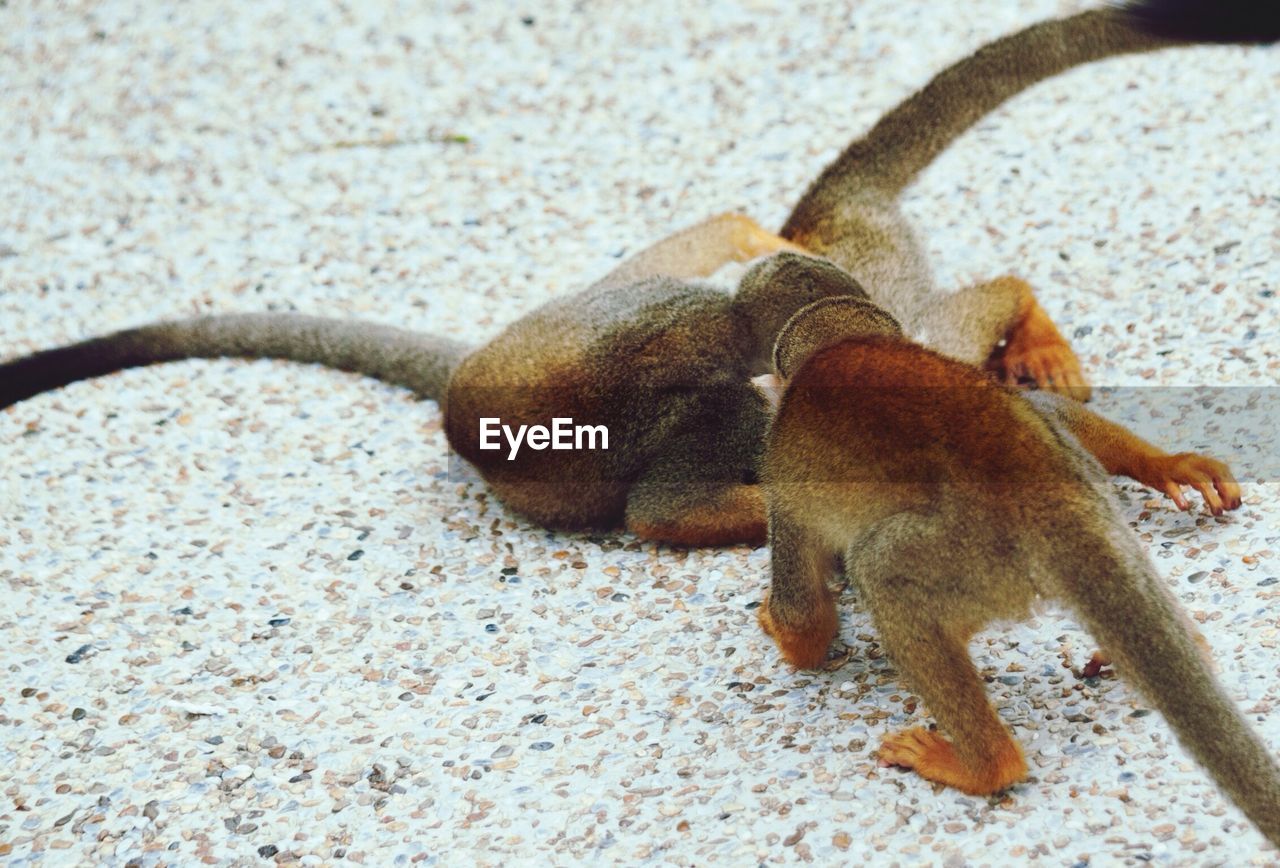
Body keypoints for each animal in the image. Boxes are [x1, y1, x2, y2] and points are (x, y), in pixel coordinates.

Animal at [752, 278, 1276, 845]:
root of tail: (1052, 502)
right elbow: (1049, 408)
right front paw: (1165, 464)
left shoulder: (780, 473)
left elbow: (806, 622)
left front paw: (778, 626)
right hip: (1087, 500)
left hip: (974, 556)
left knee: (882, 570)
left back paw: (985, 767)